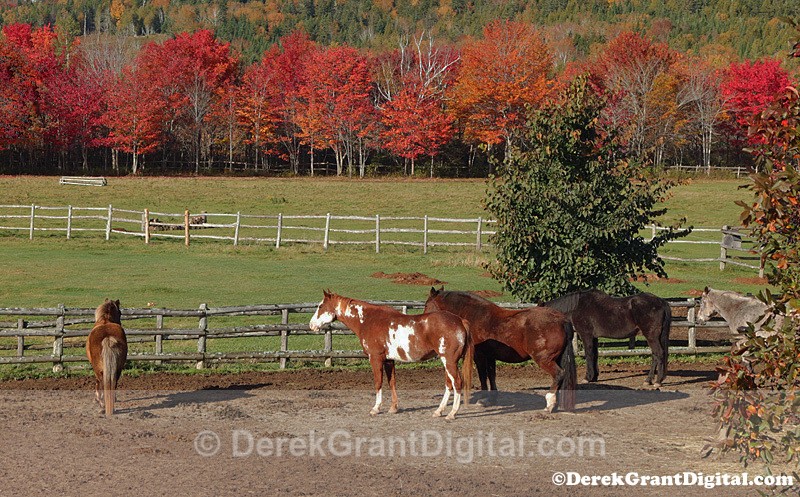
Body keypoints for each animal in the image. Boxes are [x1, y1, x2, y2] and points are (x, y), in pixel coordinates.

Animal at [309, 290, 473, 420]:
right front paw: (393, 408)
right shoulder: (389, 360)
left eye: (320, 306)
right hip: (448, 362)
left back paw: (452, 413)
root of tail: (460, 321)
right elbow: (392, 382)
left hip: (449, 361)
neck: (368, 320)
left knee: (457, 383)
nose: (311, 325)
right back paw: (439, 411)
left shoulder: (375, 358)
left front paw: (376, 409)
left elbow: (378, 383)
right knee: (449, 384)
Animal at [423, 287, 576, 412]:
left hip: (544, 360)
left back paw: (550, 404)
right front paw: (492, 399)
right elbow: (492, 375)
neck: (474, 316)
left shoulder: (479, 355)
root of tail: (561, 320)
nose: (423, 320)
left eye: (426, 304)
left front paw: (483, 399)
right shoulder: (491, 356)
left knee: (559, 374)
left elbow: (483, 376)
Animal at [543, 289, 671, 388]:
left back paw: (657, 381)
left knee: (659, 354)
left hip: (651, 336)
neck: (578, 306)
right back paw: (649, 380)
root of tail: (660, 301)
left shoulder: (586, 335)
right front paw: (594, 377)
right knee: (655, 355)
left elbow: (589, 355)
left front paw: (587, 378)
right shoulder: (594, 337)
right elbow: (595, 355)